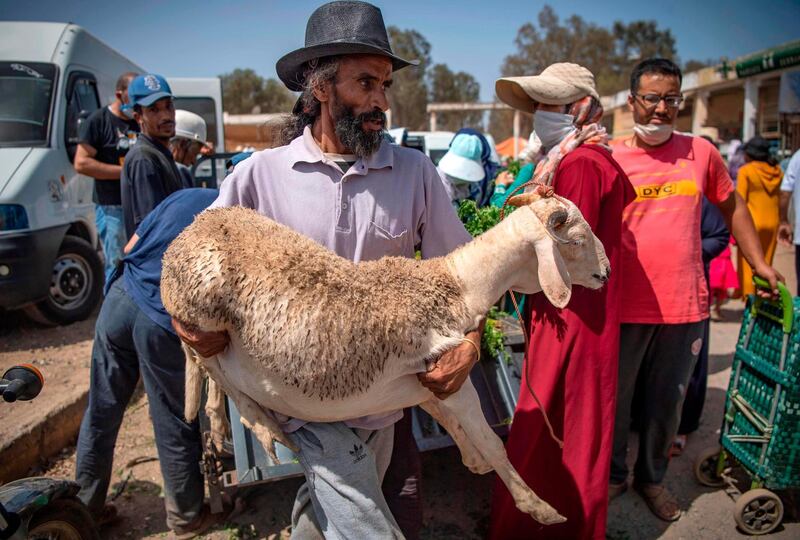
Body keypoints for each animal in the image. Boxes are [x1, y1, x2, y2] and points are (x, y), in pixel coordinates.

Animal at [162, 188, 612, 524]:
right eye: (576, 240)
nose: (606, 274)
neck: (458, 285)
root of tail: (187, 231)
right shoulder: (453, 378)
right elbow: (492, 441)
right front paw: (540, 507)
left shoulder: (432, 381)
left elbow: (449, 420)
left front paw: (472, 460)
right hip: (200, 308)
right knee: (209, 364)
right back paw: (260, 425)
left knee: (205, 368)